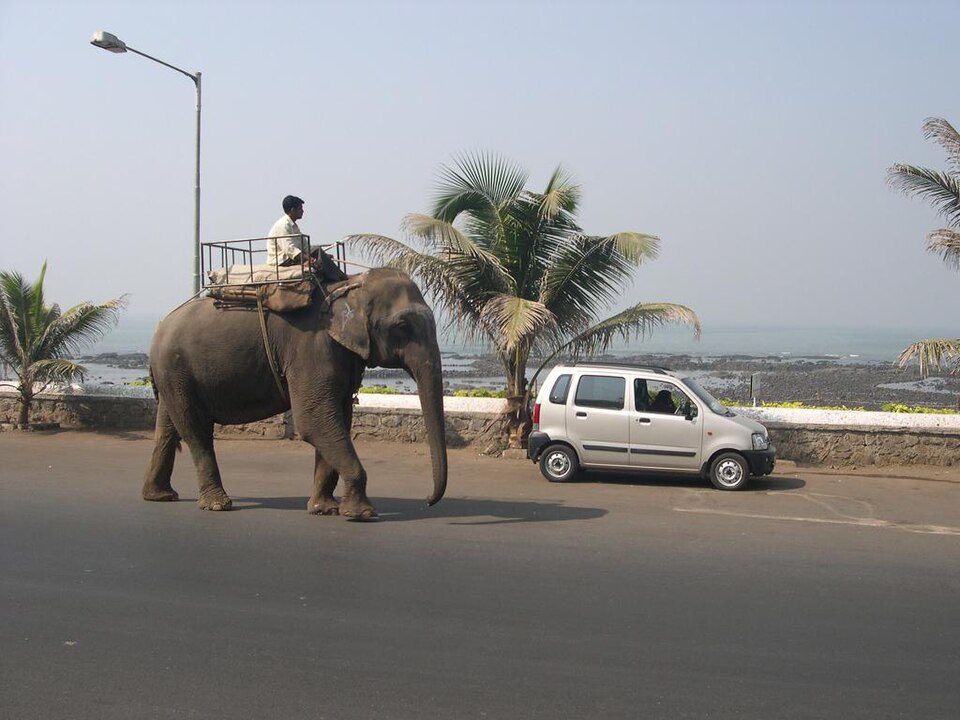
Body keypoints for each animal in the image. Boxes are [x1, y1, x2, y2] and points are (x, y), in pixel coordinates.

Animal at [141, 268, 447, 519]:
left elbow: (337, 419)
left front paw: (325, 509)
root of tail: (159, 326)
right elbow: (314, 419)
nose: (428, 501)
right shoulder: (312, 347)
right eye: (403, 326)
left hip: (173, 374)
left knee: (168, 426)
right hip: (176, 367)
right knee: (195, 429)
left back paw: (160, 496)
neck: (348, 284)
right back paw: (217, 504)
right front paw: (361, 513)